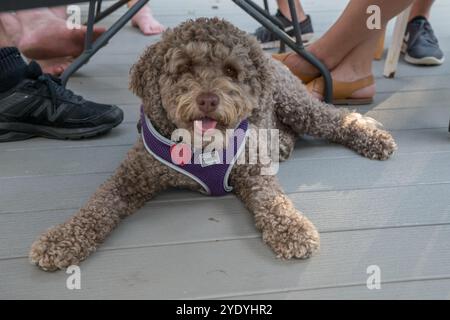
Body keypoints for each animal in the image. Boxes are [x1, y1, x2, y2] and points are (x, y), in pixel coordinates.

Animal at [28, 18, 396, 272]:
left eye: (231, 70)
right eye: (185, 68)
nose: (208, 99)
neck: (202, 146)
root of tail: (275, 60)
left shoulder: (252, 173)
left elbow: (274, 201)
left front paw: (293, 229)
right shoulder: (132, 176)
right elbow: (97, 205)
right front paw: (61, 238)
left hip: (297, 104)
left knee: (335, 118)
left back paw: (374, 138)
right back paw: (281, 145)